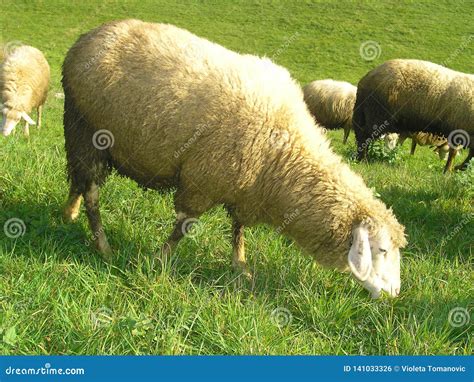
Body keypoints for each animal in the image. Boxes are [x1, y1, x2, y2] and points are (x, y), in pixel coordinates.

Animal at [61, 19, 406, 298]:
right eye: (381, 249)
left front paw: (240, 265)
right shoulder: (202, 180)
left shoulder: (244, 186)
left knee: (77, 180)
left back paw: (69, 213)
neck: (284, 153)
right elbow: (183, 227)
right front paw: (159, 259)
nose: (395, 294)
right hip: (85, 129)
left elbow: (238, 228)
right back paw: (103, 245)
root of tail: (88, 36)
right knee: (91, 192)